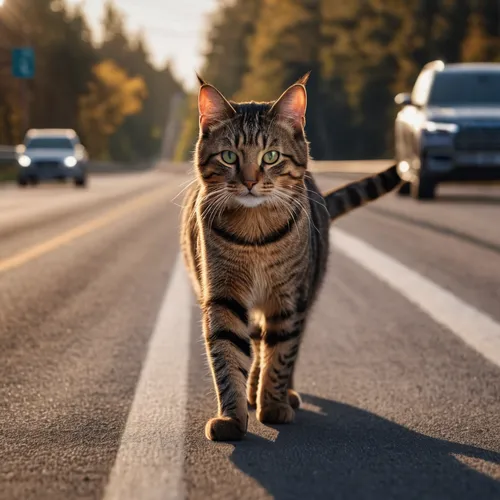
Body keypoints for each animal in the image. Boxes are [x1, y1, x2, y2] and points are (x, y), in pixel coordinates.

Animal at [181, 73, 402, 442]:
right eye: (229, 156)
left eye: (271, 156)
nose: (250, 181)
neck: (254, 235)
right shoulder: (223, 296)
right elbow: (227, 356)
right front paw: (232, 415)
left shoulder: (287, 299)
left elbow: (281, 354)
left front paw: (272, 404)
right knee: (257, 343)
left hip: (307, 291)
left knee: (280, 345)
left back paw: (281, 393)